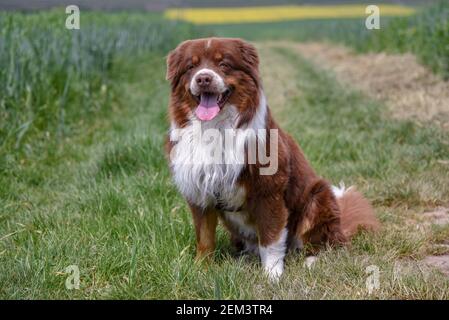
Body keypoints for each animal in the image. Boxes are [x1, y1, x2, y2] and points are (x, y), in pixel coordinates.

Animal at [164, 37, 378, 280]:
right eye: (191, 67)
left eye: (224, 64)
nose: (203, 78)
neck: (215, 129)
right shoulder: (198, 191)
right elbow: (204, 237)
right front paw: (201, 269)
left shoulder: (269, 190)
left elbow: (271, 237)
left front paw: (272, 274)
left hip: (318, 198)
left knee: (326, 243)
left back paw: (311, 260)